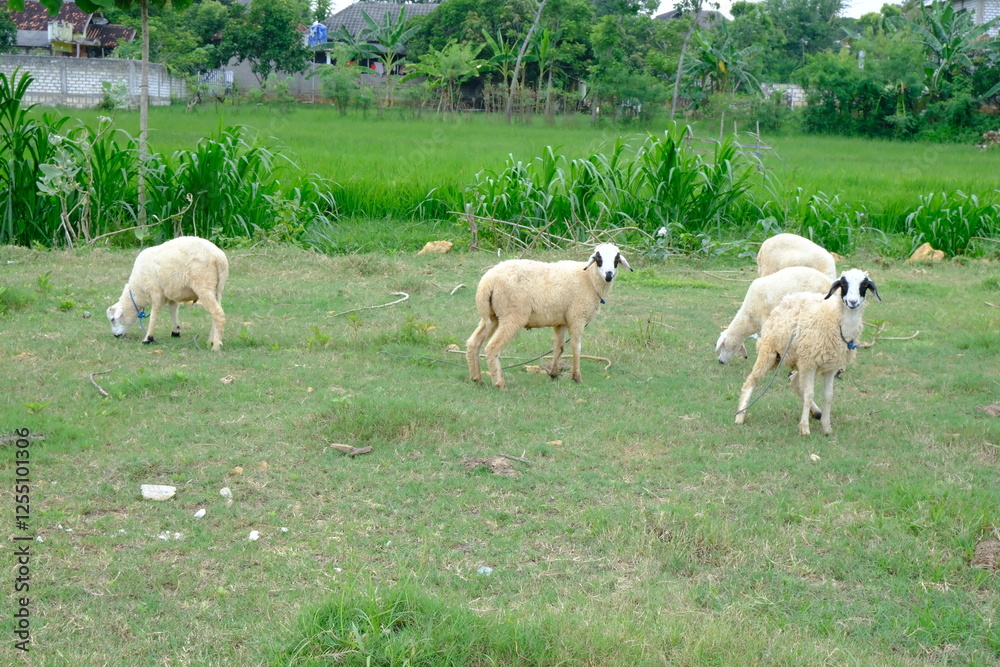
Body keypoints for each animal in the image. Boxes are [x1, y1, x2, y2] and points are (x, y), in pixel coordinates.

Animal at [466, 243, 631, 390]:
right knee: (492, 347)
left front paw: (554, 374)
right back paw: (499, 383)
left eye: (616, 258)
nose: (609, 275)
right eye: (598, 258)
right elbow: (576, 347)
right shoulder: (577, 317)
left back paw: (477, 378)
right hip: (512, 315)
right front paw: (576, 377)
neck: (590, 279)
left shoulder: (561, 321)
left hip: (492, 316)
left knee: (473, 342)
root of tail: (487, 282)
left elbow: (559, 347)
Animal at [734, 268, 880, 436]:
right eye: (843, 284)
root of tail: (787, 299)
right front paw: (804, 428)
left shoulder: (830, 367)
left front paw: (826, 427)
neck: (837, 321)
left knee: (795, 382)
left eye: (864, 285)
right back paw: (740, 415)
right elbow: (809, 394)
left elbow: (828, 396)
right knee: (751, 381)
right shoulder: (810, 363)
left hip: (799, 360)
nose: (853, 302)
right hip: (770, 351)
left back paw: (816, 412)